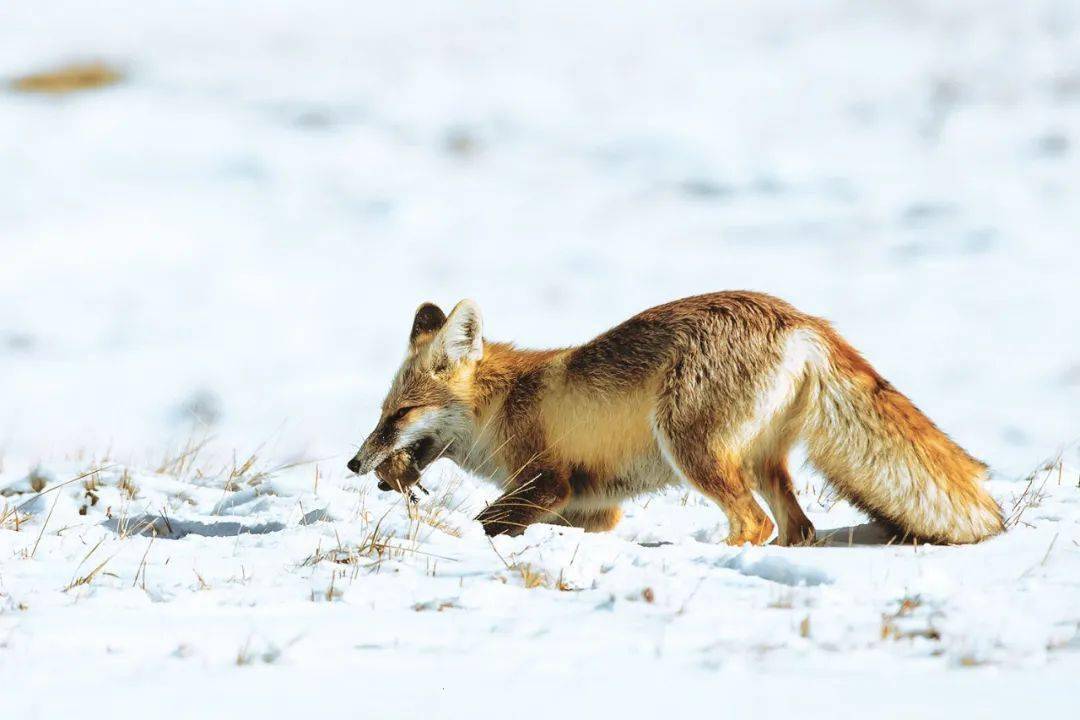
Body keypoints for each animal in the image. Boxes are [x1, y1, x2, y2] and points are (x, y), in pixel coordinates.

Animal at [349, 293, 1006, 546]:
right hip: (761, 462)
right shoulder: (594, 508)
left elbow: (489, 521)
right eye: (381, 414)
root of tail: (799, 318)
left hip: (689, 446)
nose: (357, 464)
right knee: (796, 528)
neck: (506, 401)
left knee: (754, 523)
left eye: (401, 413)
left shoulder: (547, 481)